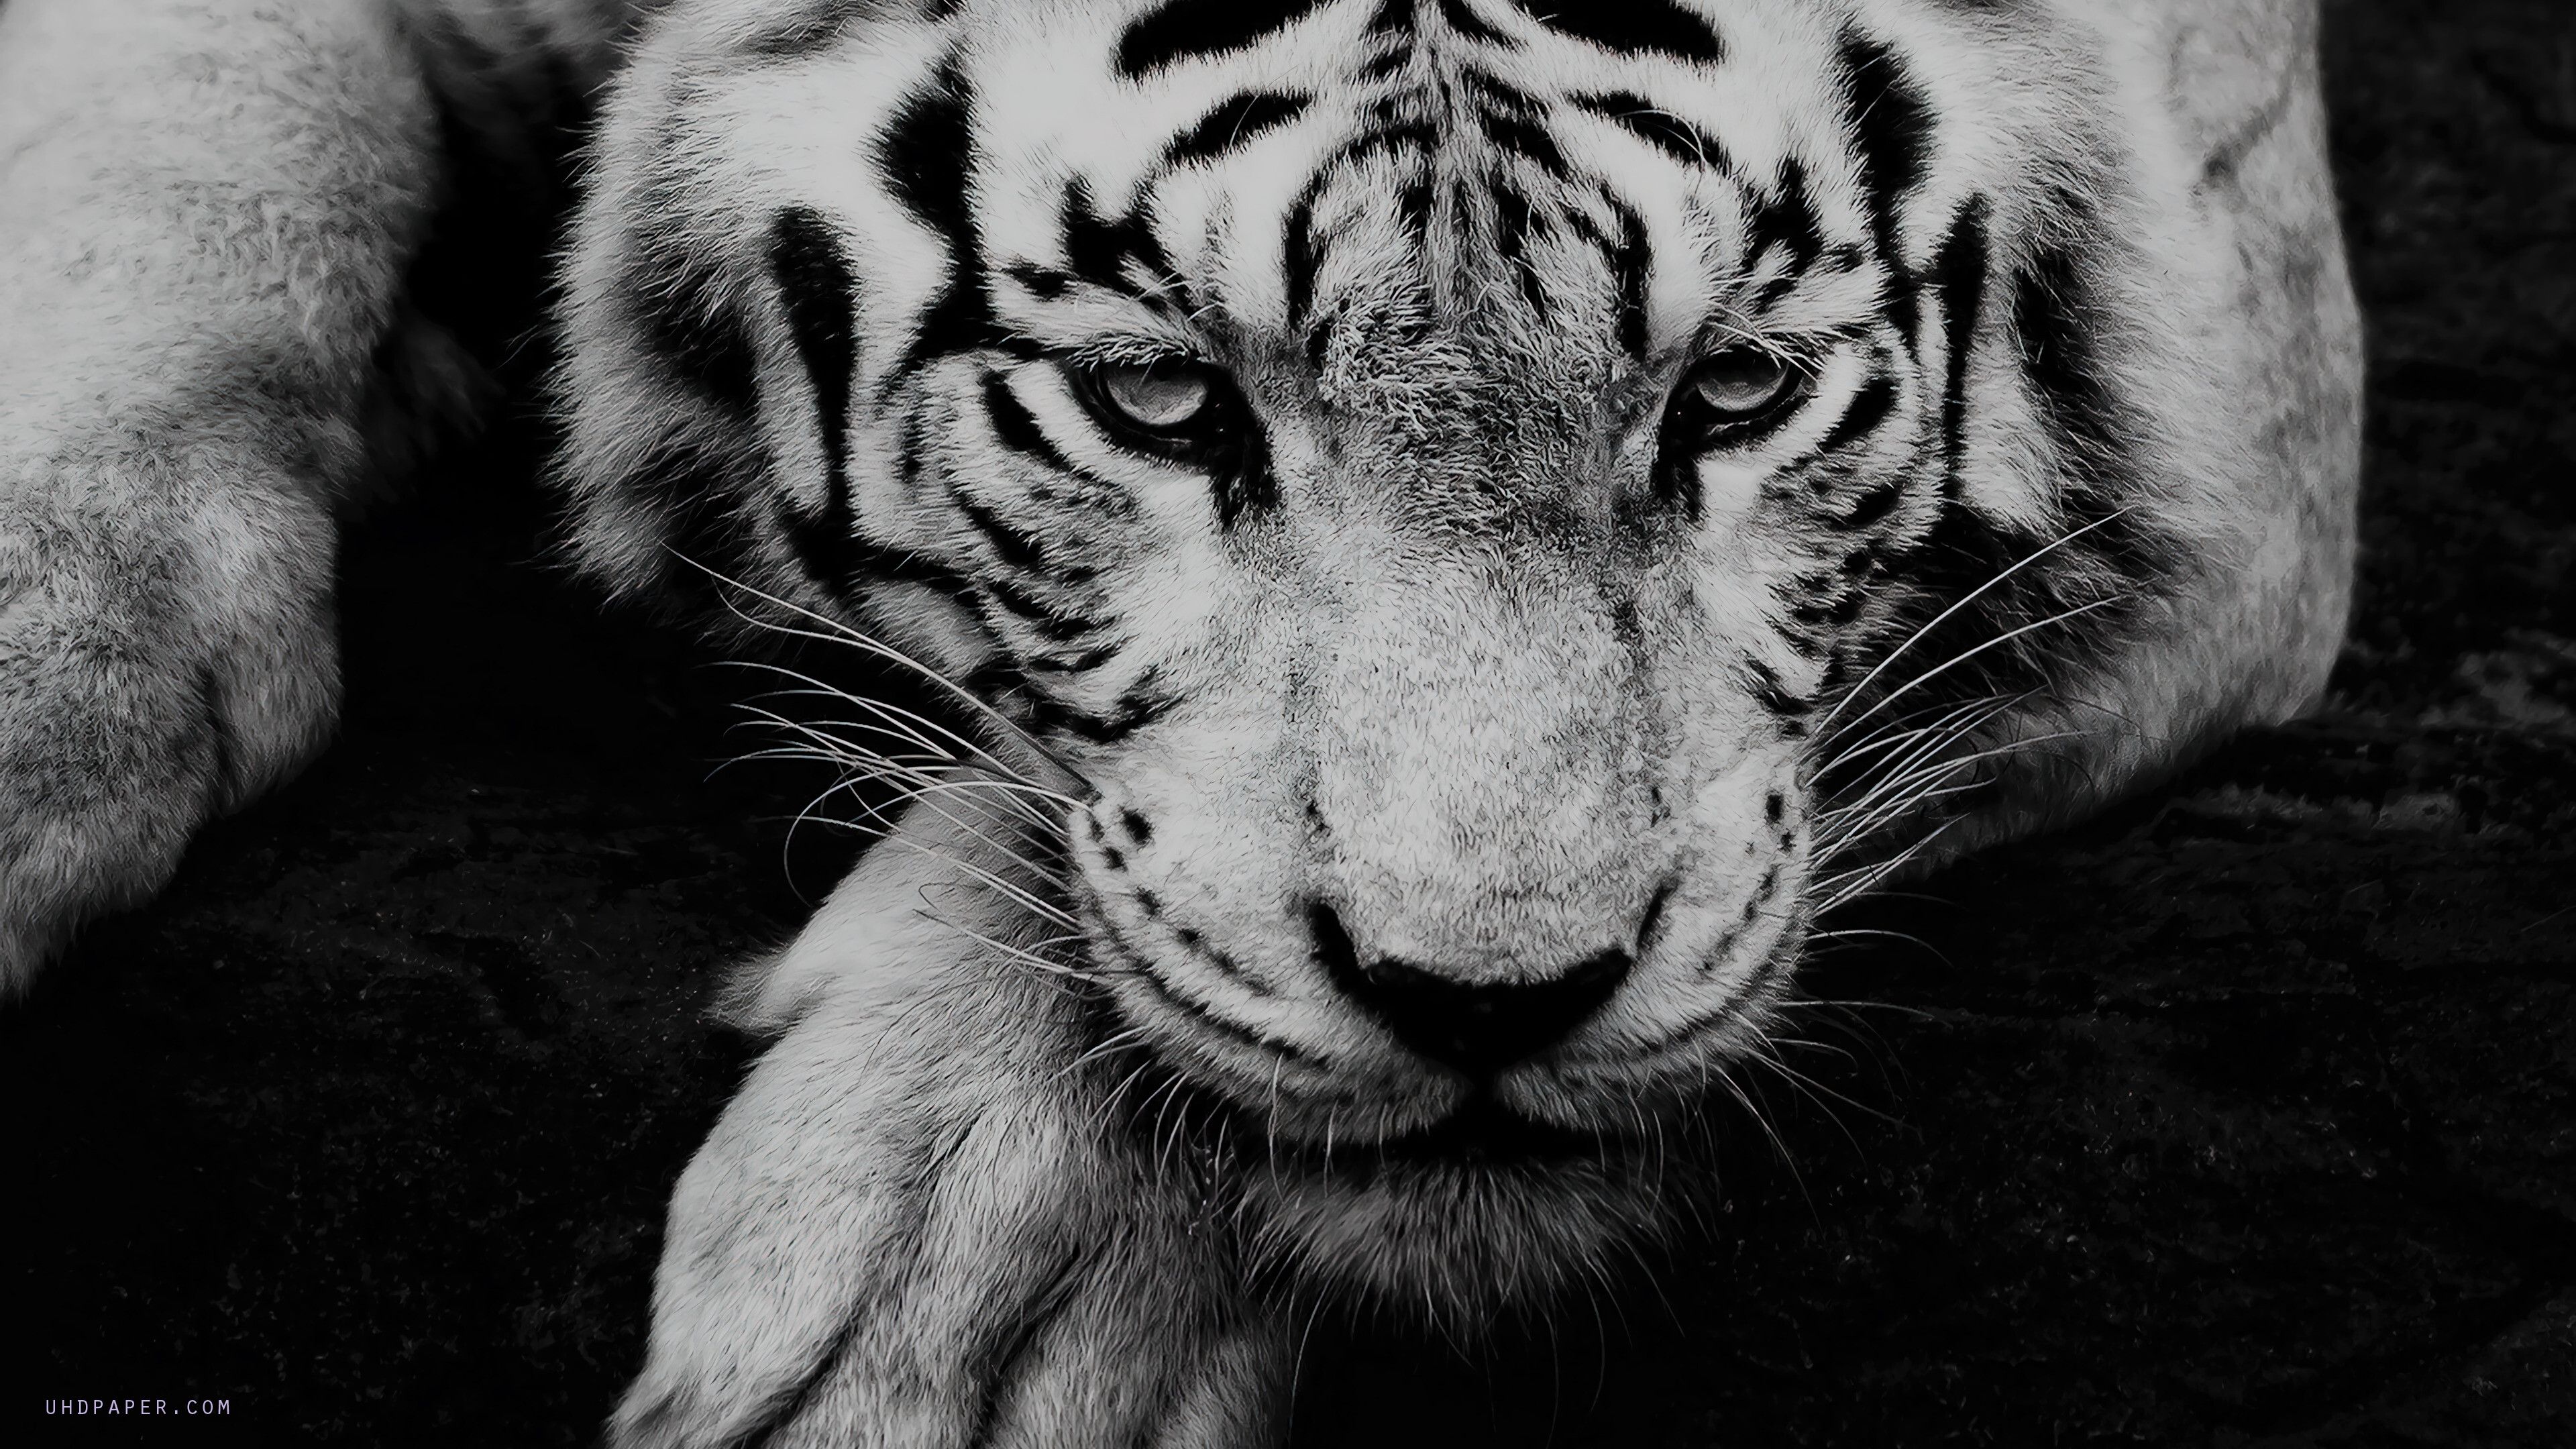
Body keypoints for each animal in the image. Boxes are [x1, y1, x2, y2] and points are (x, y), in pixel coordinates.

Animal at [0, 0, 2357, 1442]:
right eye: (1154, 400)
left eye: (1737, 392)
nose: (1496, 1005)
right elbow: (200, 163)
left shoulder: (2239, 475)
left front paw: (958, 1304)